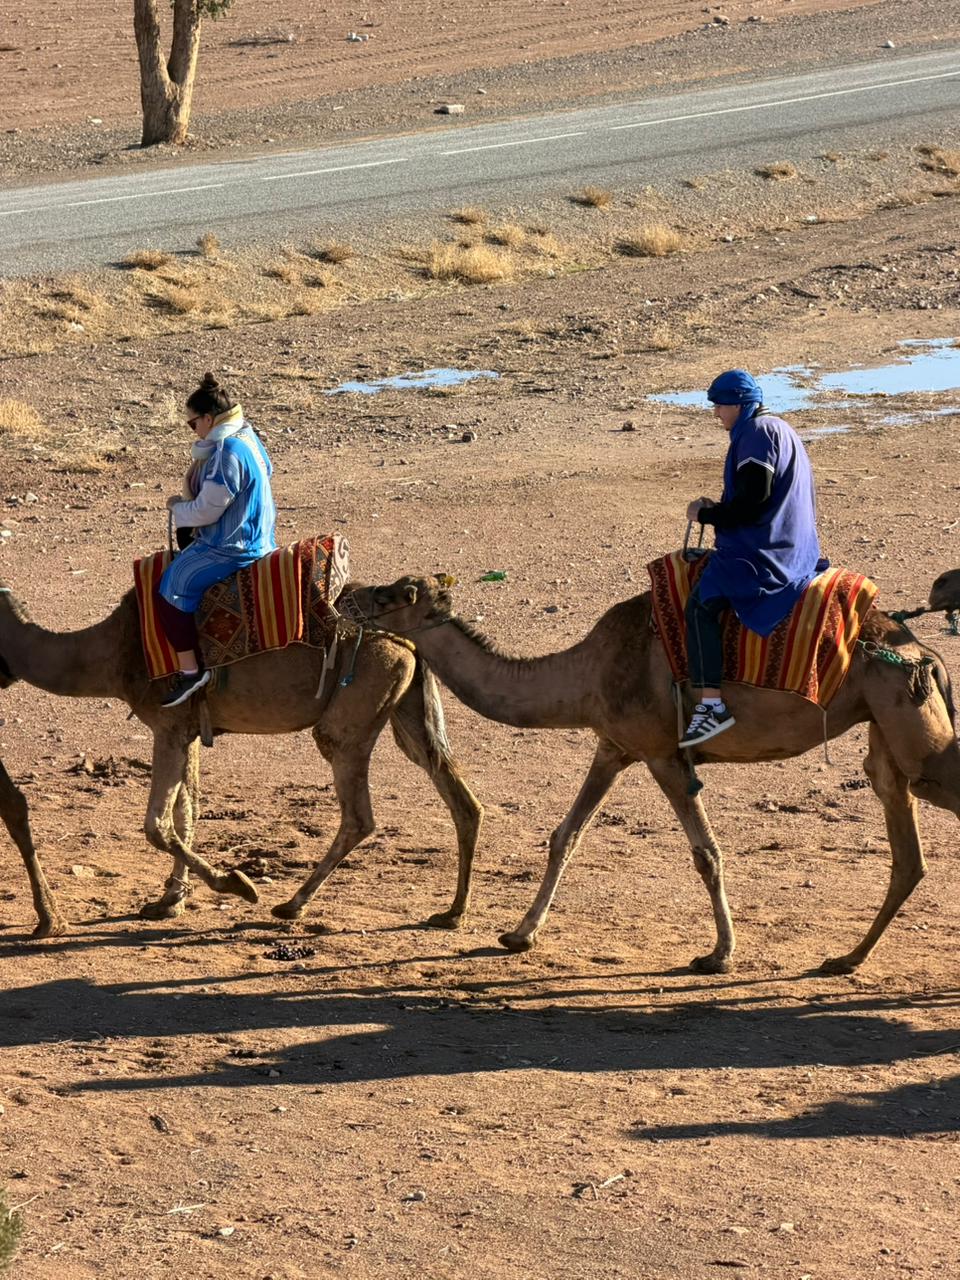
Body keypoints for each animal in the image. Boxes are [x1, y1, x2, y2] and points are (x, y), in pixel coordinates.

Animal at [0, 582, 482, 938]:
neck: (113, 652)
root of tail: (405, 640)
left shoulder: (167, 725)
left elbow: (157, 824)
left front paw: (235, 883)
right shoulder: (186, 727)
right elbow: (187, 810)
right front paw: (169, 901)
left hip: (354, 710)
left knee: (358, 813)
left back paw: (292, 904)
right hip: (407, 709)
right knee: (459, 797)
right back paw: (453, 913)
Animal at [347, 575, 960, 974]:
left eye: (390, 596)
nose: (344, 594)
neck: (585, 672)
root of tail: (926, 652)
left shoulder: (665, 753)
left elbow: (706, 853)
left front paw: (719, 954)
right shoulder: (613, 746)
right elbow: (564, 836)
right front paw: (519, 934)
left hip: (905, 717)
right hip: (887, 729)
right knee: (905, 843)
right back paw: (847, 958)